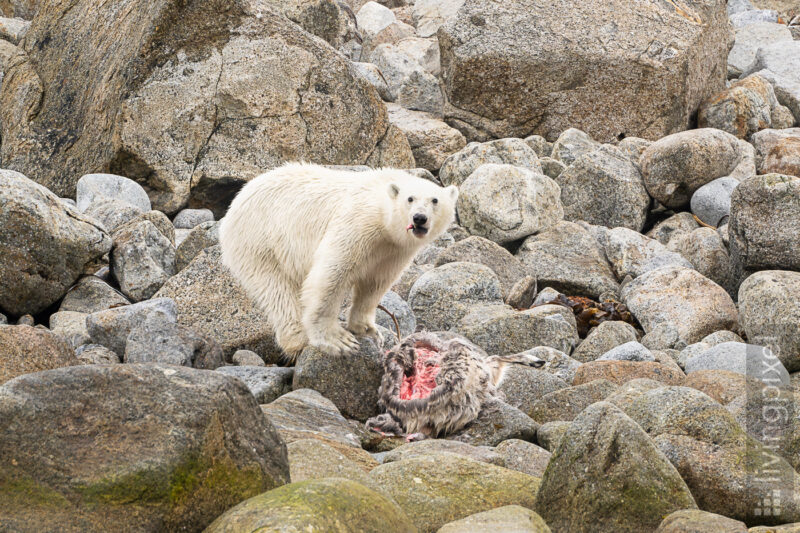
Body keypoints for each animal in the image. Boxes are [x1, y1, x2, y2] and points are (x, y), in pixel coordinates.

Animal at [219, 164, 456, 360]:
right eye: (410, 199)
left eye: (435, 200)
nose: (419, 218)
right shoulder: (358, 223)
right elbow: (332, 272)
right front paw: (336, 340)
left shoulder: (393, 250)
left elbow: (376, 283)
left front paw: (369, 329)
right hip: (259, 241)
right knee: (277, 290)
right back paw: (298, 340)